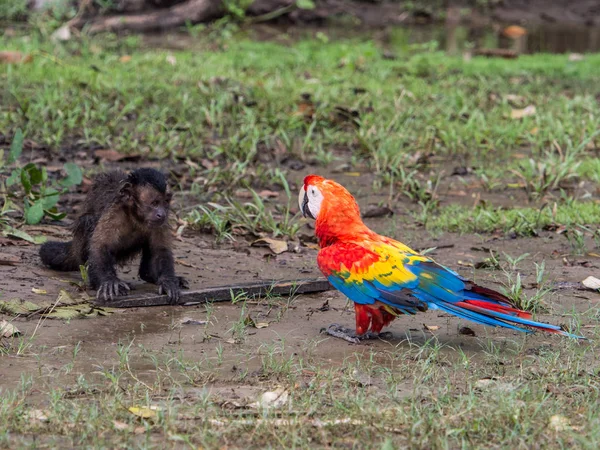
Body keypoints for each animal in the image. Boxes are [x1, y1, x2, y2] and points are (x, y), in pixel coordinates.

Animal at [39, 168, 188, 302]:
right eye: (155, 203)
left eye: (165, 202)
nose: (161, 213)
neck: (134, 216)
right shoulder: (115, 212)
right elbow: (100, 246)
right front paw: (109, 281)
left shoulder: (160, 222)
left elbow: (160, 250)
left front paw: (168, 281)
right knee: (89, 222)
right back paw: (96, 282)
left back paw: (149, 275)